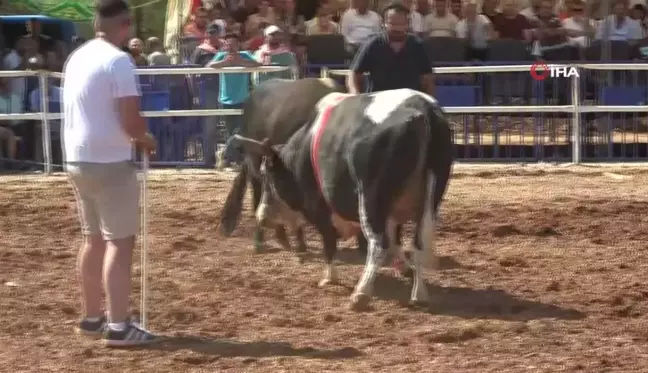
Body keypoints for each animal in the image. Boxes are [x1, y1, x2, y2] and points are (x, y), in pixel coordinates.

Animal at [235, 88, 454, 308]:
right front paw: (404, 268)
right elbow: (396, 240)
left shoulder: (319, 208)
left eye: (267, 174)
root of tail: (423, 109)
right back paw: (419, 294)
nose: (262, 216)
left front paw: (329, 277)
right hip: (430, 199)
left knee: (379, 243)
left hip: (371, 200)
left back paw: (361, 293)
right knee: (418, 244)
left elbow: (329, 241)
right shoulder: (392, 214)